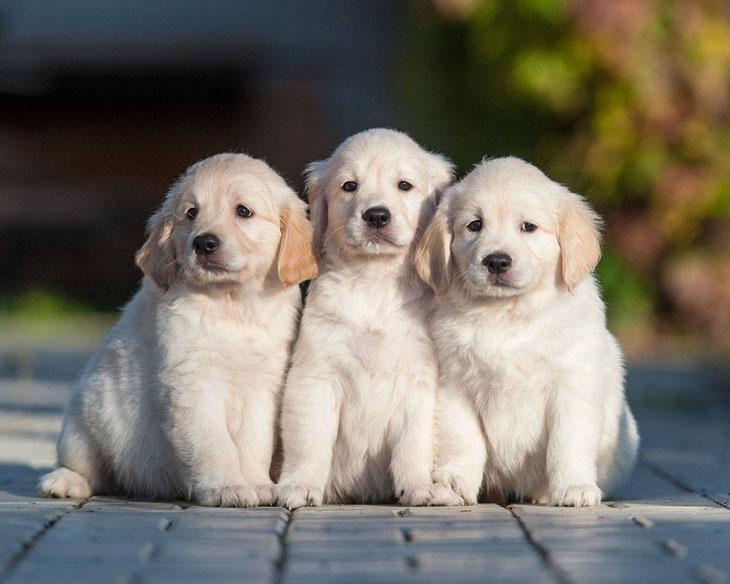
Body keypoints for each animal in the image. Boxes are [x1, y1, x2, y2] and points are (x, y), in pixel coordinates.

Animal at [38, 155, 314, 506]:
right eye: (191, 213)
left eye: (243, 211)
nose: (204, 243)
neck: (231, 303)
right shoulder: (193, 382)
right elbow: (213, 442)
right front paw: (228, 486)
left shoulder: (264, 387)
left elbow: (254, 442)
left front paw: (255, 482)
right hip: (85, 418)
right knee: (85, 465)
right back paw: (64, 482)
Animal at [276, 128, 452, 506]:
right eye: (349, 186)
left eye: (404, 185)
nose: (376, 216)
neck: (374, 282)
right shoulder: (316, 375)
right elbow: (309, 439)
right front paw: (300, 484)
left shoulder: (419, 381)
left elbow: (413, 443)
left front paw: (419, 486)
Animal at [416, 156, 636, 506]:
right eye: (474, 225)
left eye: (528, 226)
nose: (496, 261)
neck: (507, 315)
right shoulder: (454, 385)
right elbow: (463, 439)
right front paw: (453, 482)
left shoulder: (573, 384)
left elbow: (567, 442)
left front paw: (573, 487)